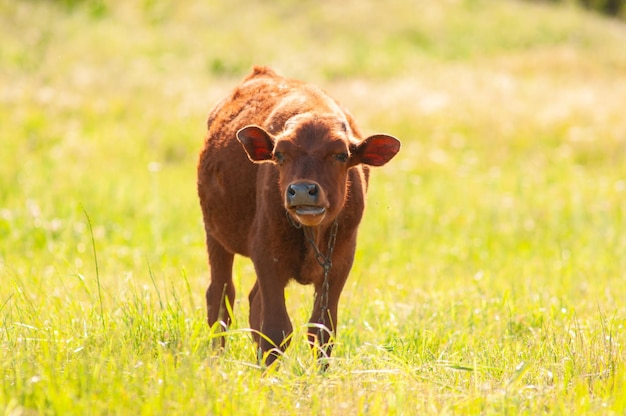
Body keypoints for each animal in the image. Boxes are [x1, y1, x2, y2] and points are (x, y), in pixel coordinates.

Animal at [196, 66, 400, 364]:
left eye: (341, 154)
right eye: (280, 154)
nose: (303, 191)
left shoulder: (338, 266)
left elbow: (322, 330)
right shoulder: (268, 258)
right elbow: (275, 330)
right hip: (215, 237)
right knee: (221, 296)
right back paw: (216, 360)